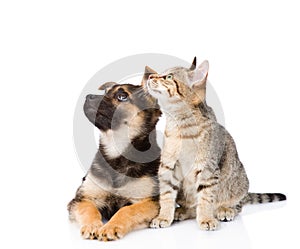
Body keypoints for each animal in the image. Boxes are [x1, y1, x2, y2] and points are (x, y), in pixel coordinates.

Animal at [68, 68, 162, 241]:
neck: (116, 153)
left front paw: (110, 226)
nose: (88, 96)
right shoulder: (82, 198)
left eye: (122, 96)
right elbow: (89, 209)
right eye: (105, 91)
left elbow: (127, 210)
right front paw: (92, 225)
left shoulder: (150, 201)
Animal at [146, 59, 288, 231]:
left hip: (240, 182)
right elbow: (166, 195)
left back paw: (225, 209)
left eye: (168, 76)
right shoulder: (167, 167)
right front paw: (164, 217)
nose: (150, 76)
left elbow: (205, 198)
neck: (180, 127)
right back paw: (182, 212)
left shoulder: (208, 169)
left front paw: (206, 218)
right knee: (192, 207)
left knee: (237, 205)